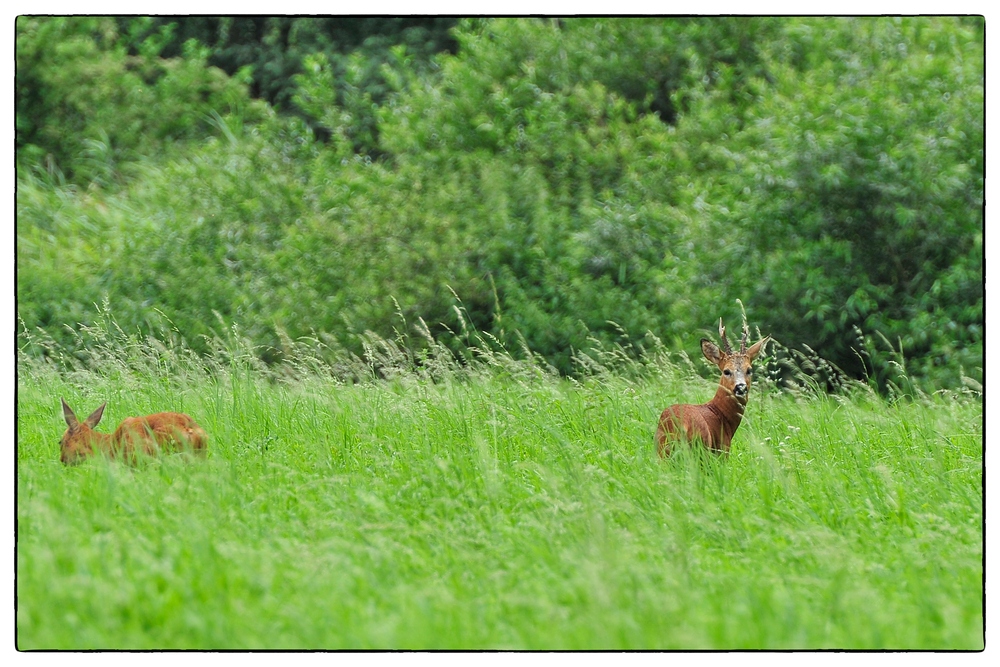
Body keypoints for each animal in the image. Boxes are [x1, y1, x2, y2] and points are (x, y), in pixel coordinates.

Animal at [656, 320, 772, 456]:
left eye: (749, 370)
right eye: (726, 371)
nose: (741, 387)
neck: (720, 414)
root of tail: (676, 425)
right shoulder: (723, 449)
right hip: (700, 447)